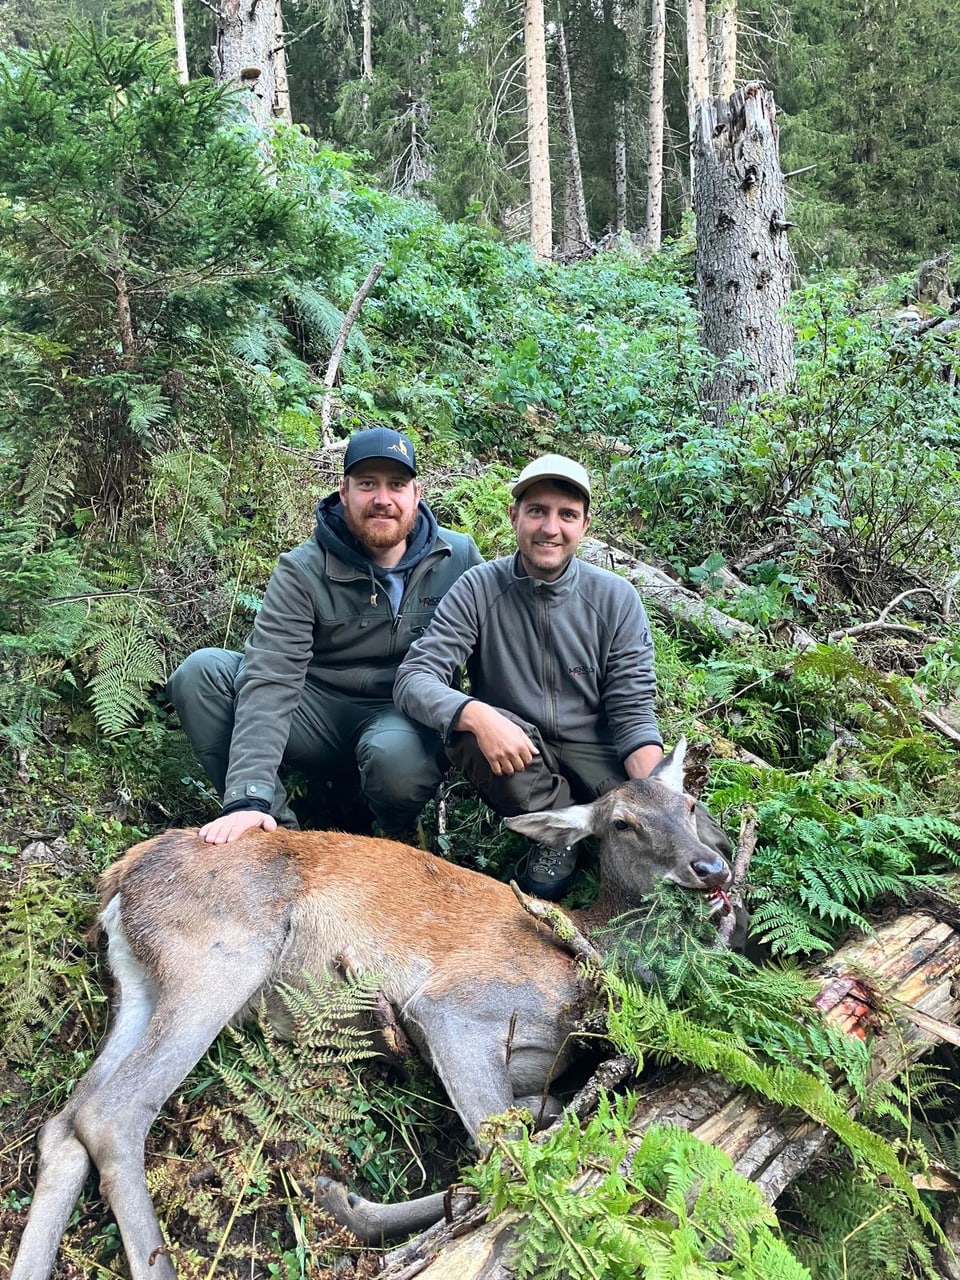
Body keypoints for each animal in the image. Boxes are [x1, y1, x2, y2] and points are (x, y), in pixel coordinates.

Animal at [7, 737, 732, 1274]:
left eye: (691, 803)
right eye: (624, 824)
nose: (711, 868)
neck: (582, 969)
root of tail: (118, 876)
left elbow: (539, 1124)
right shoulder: (455, 1008)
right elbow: (507, 1161)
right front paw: (346, 1201)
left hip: (140, 982)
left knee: (65, 1122)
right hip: (218, 957)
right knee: (113, 1113)